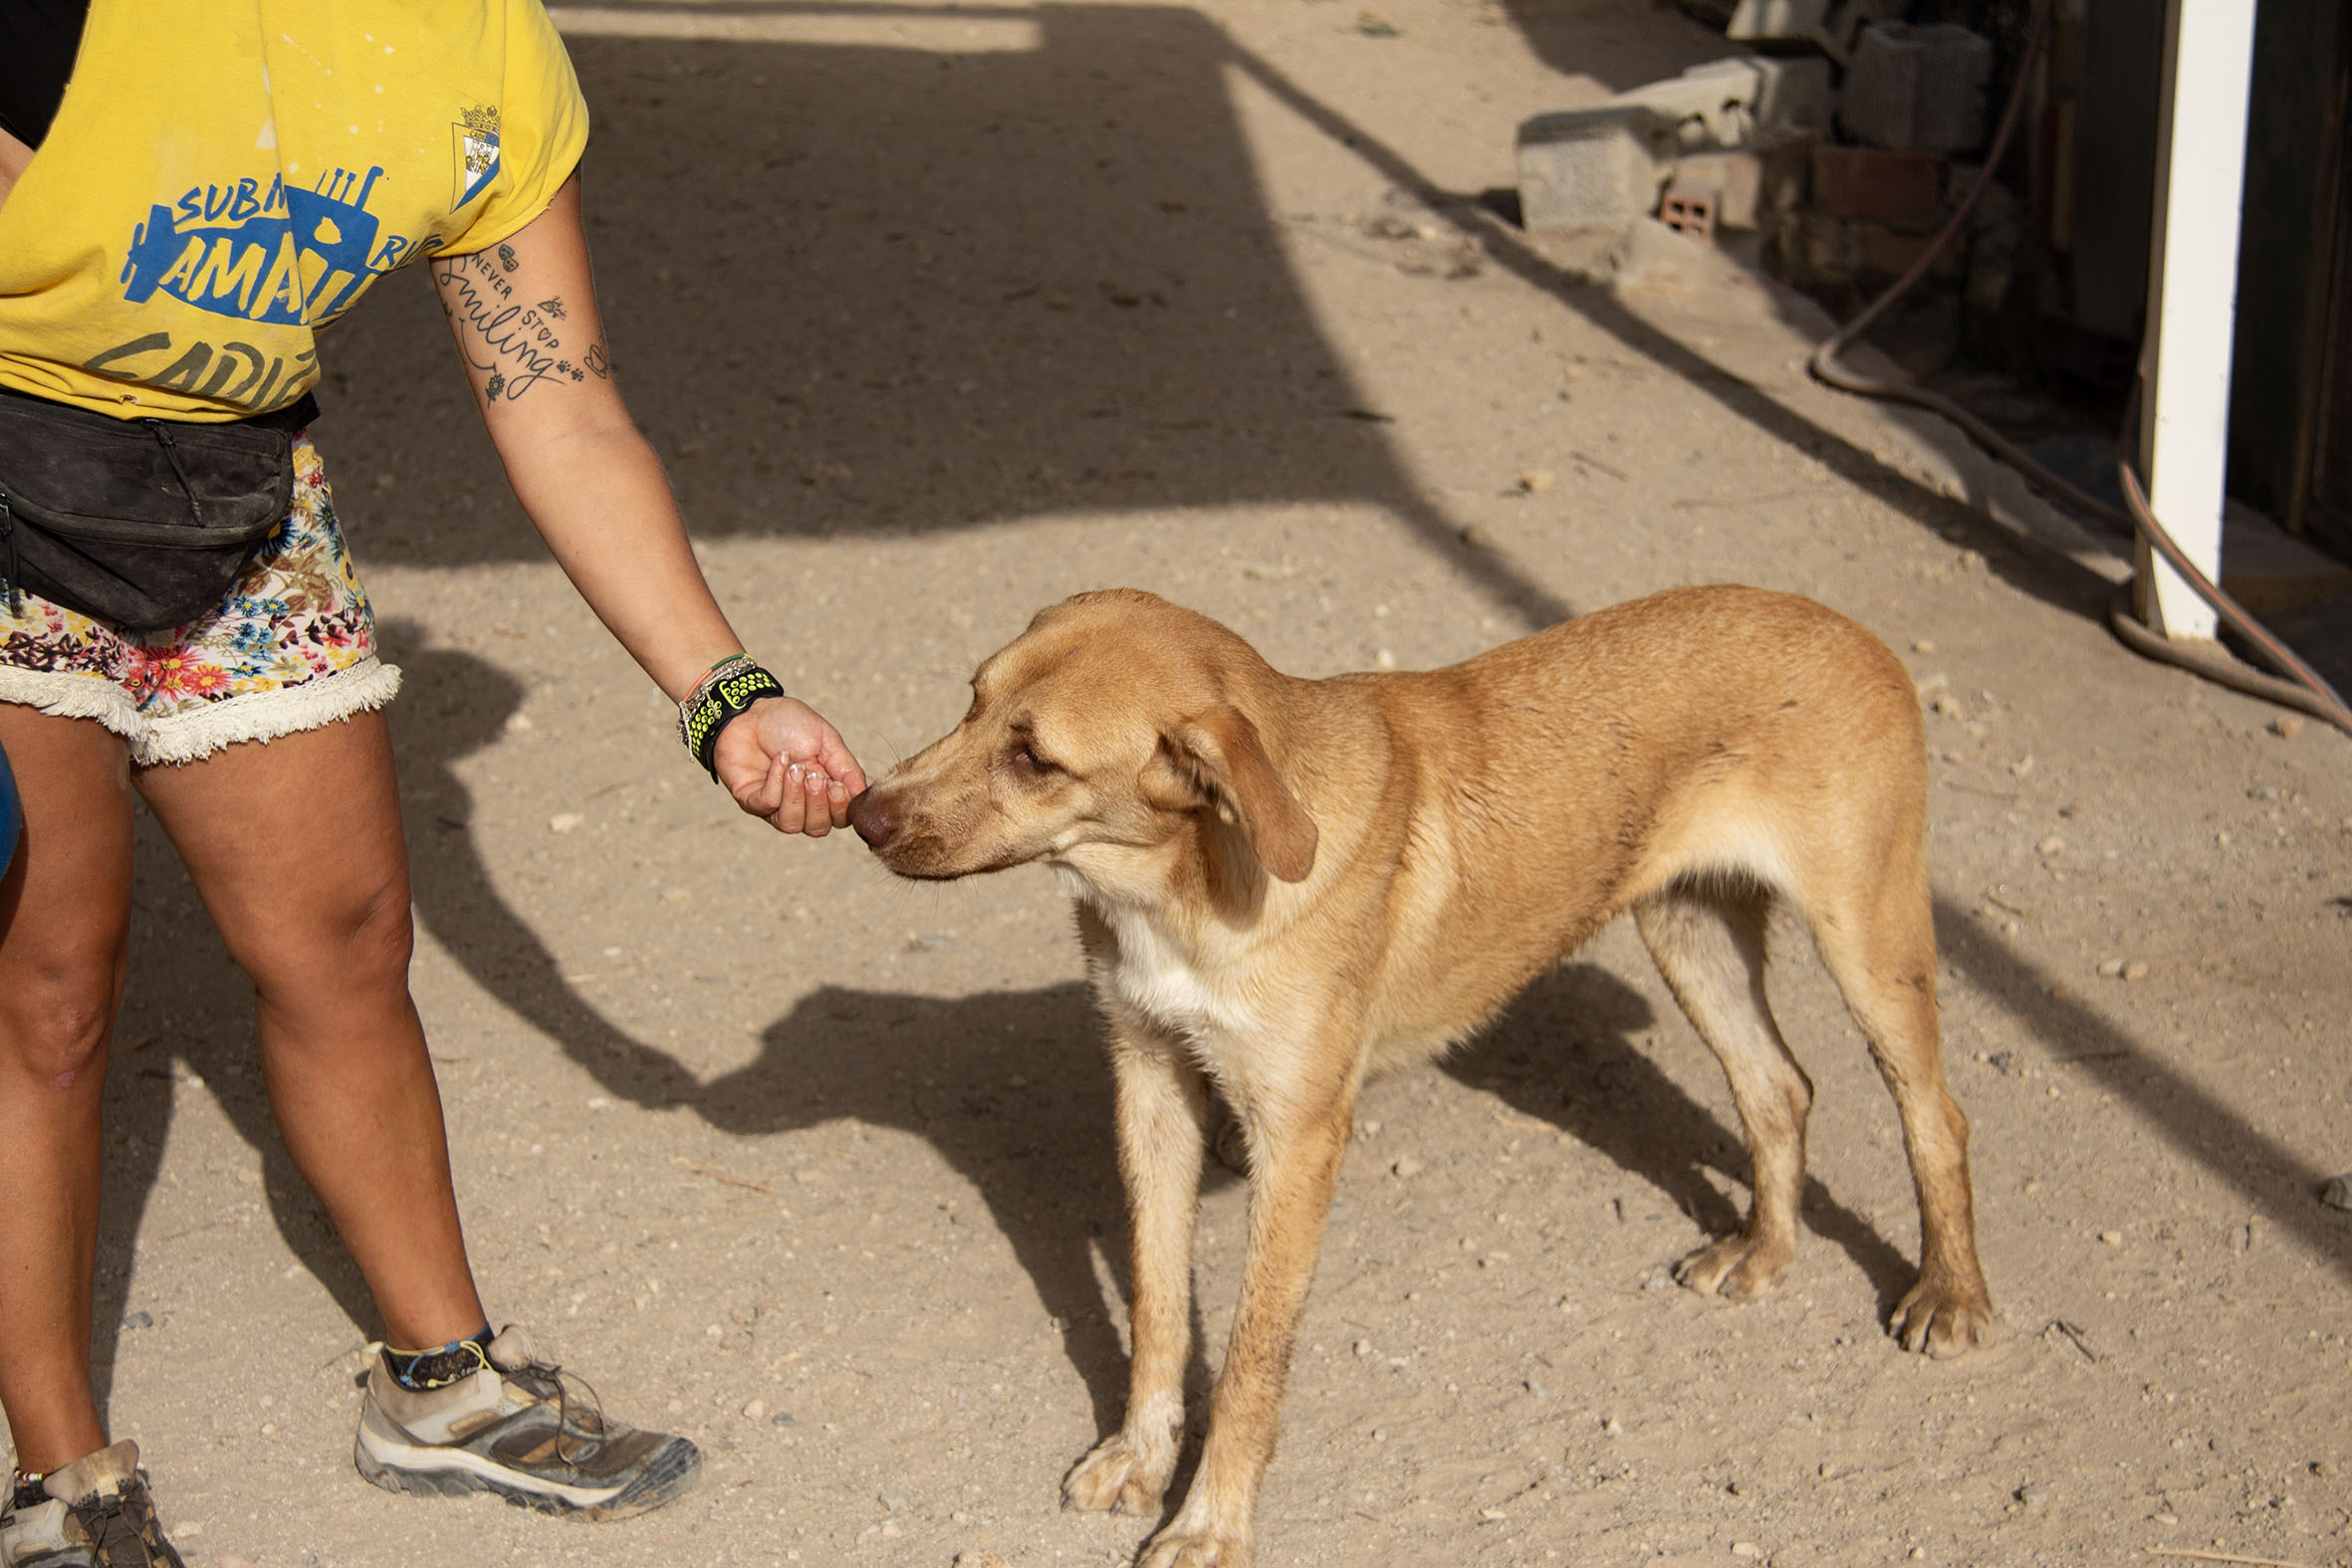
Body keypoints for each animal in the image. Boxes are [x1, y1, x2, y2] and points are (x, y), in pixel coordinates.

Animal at [846, 585, 1990, 1568]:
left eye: (1036, 758)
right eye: (971, 698)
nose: (861, 812)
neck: (1185, 888)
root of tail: (1844, 626)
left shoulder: (1300, 1140)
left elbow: (1253, 1358)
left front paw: (1212, 1524)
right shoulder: (1151, 1084)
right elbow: (1160, 1305)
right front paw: (1140, 1457)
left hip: (1870, 944)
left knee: (1935, 1113)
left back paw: (1949, 1294)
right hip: (1690, 930)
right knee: (1778, 1088)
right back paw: (1765, 1251)